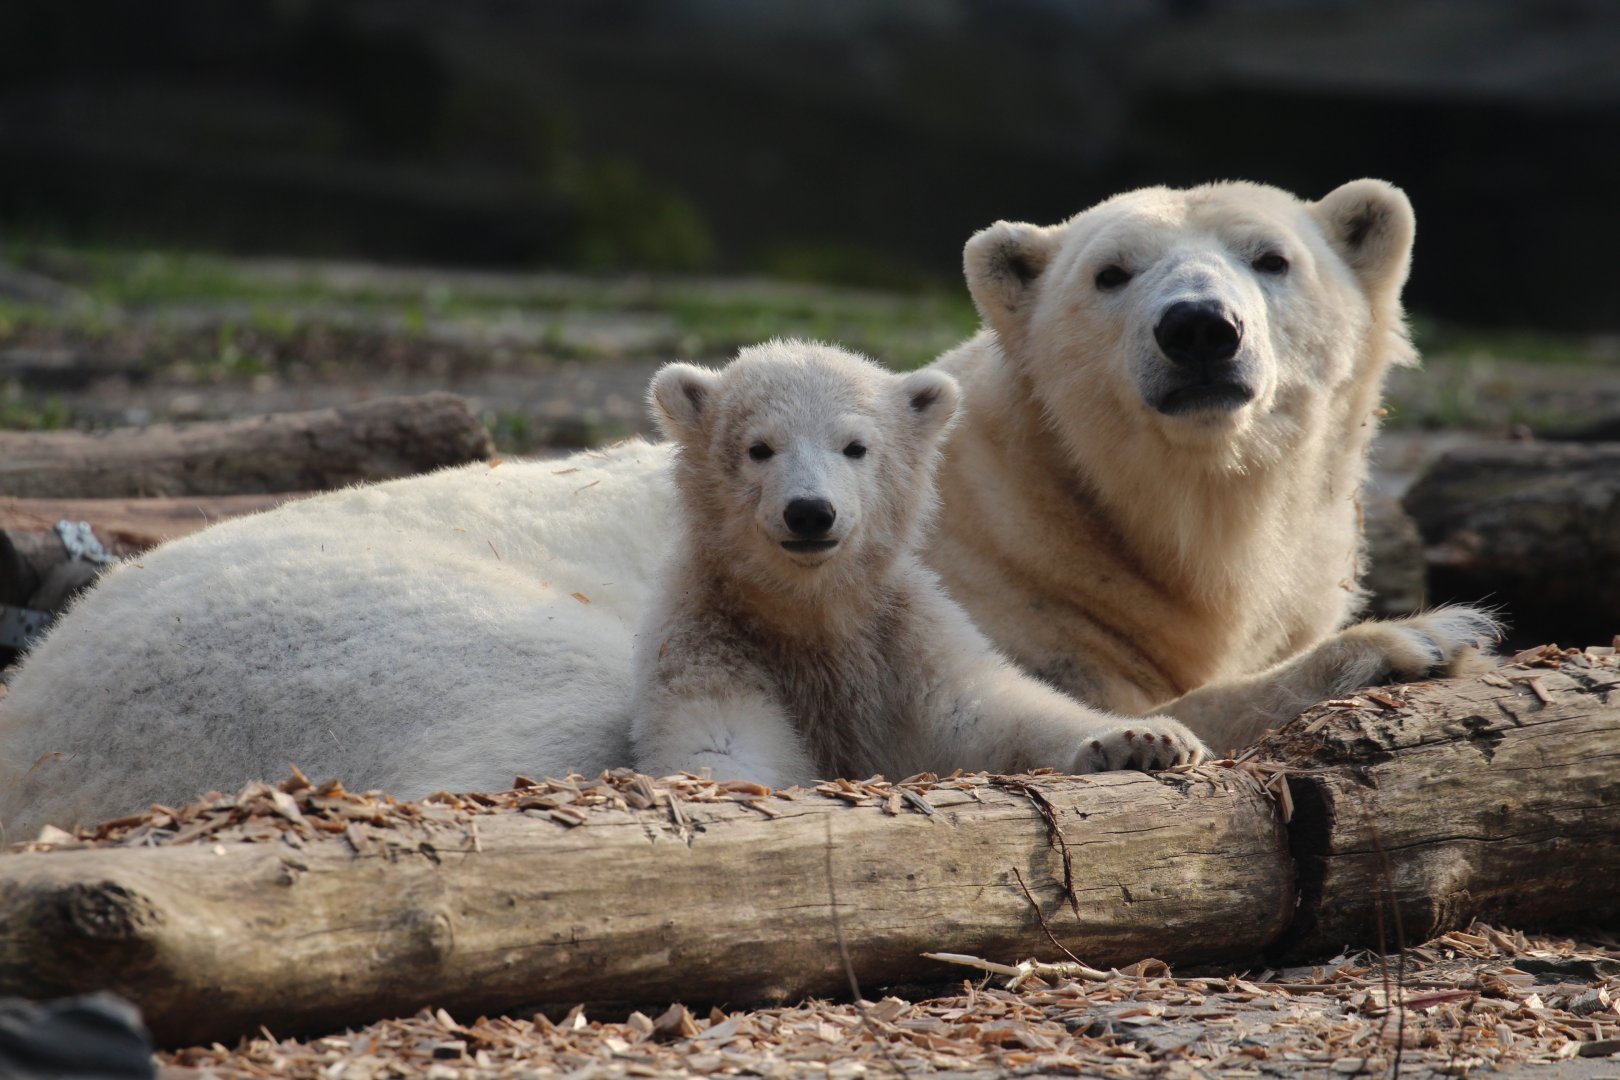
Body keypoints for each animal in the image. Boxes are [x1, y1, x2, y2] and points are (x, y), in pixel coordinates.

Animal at [633, 341, 1208, 787]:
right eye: (759, 448)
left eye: (855, 447)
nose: (810, 512)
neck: (812, 611)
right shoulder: (710, 642)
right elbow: (722, 742)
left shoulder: (903, 640)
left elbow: (981, 711)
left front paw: (1147, 737)